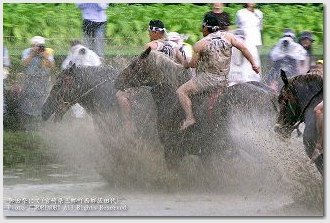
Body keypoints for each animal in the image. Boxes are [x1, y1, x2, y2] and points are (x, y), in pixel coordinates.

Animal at [114, 47, 280, 169]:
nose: (117, 80)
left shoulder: (172, 151)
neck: (172, 99)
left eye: (134, 64)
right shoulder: (205, 155)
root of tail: (272, 96)